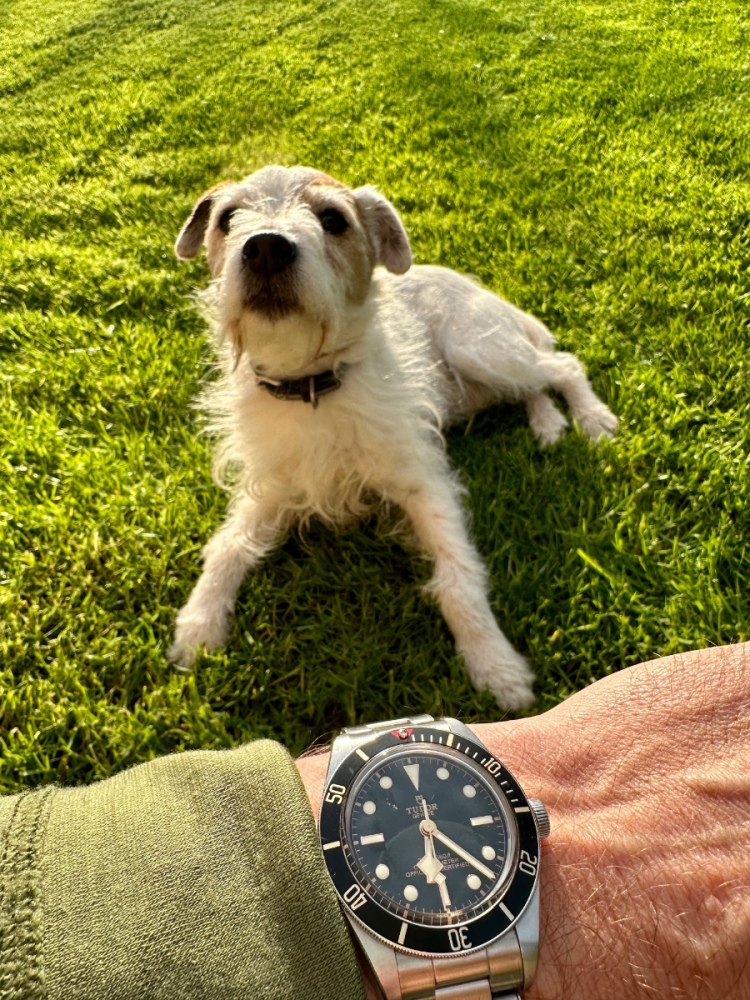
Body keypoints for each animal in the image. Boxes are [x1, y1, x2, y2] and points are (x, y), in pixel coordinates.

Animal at [168, 165, 617, 710]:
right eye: (228, 218)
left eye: (333, 220)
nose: (267, 247)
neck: (313, 386)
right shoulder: (272, 489)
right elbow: (227, 547)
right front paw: (197, 627)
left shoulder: (423, 484)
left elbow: (458, 577)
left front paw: (497, 667)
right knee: (532, 387)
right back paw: (548, 424)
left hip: (480, 350)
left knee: (562, 365)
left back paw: (592, 418)